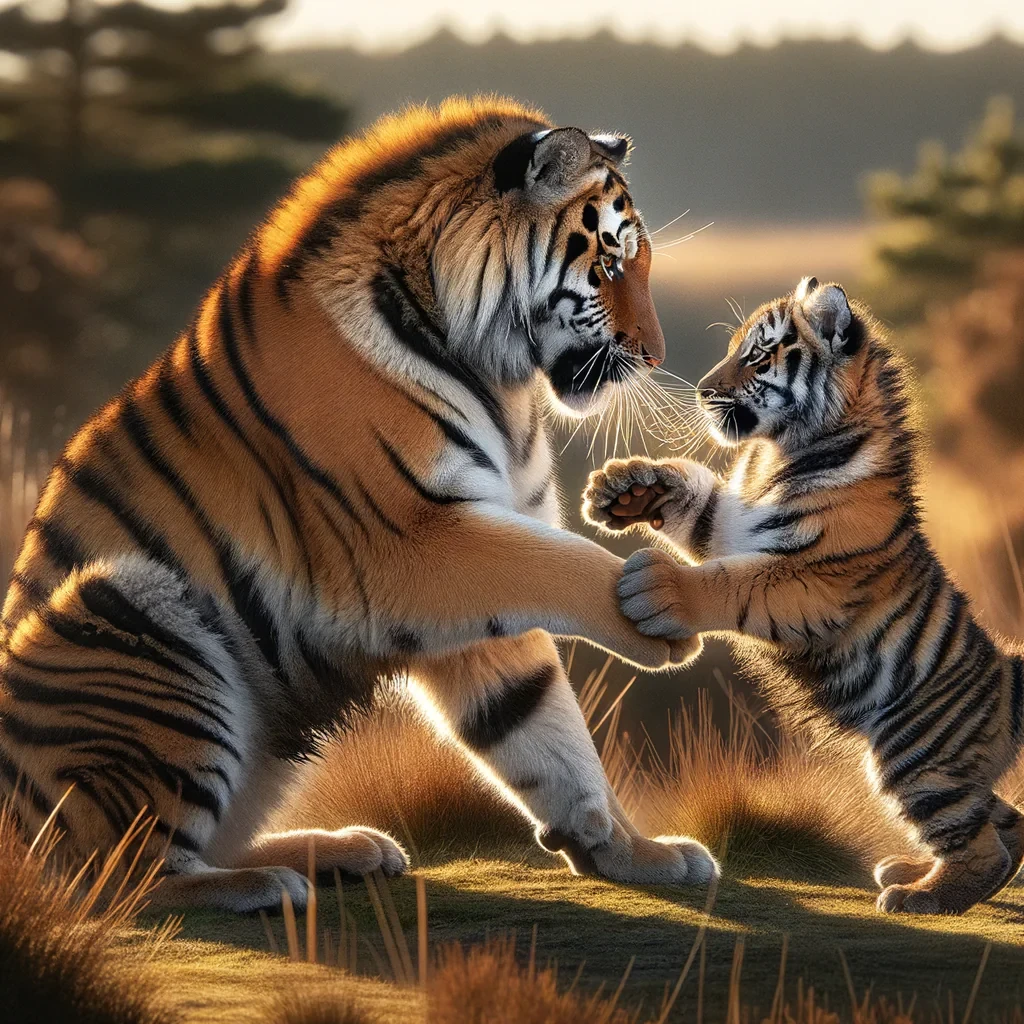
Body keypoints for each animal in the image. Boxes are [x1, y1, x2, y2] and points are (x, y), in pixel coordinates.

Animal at [0, 96, 717, 913]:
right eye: (609, 264)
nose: (656, 355)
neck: (496, 374)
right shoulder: (412, 539)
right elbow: (562, 563)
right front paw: (658, 614)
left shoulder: (466, 579)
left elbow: (539, 721)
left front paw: (632, 852)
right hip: (126, 604)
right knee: (116, 876)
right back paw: (266, 884)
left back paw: (349, 849)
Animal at [582, 276, 1024, 915]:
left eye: (758, 356)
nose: (703, 390)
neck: (777, 454)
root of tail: (1008, 676)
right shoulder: (733, 522)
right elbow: (696, 498)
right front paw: (625, 488)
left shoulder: (813, 582)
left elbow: (731, 582)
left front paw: (657, 587)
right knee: (1004, 820)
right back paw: (909, 871)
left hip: (914, 755)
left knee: (984, 847)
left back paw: (917, 896)